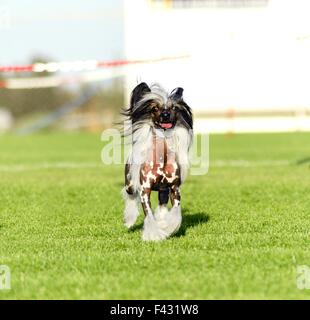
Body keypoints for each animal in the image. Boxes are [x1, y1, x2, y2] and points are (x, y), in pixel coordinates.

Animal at [121, 82, 193, 240]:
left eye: (173, 108)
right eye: (155, 108)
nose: (165, 115)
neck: (162, 159)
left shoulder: (174, 189)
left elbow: (175, 212)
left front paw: (167, 228)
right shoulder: (145, 190)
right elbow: (149, 215)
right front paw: (153, 235)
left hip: (163, 190)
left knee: (161, 205)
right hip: (130, 183)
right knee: (130, 196)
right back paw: (129, 220)